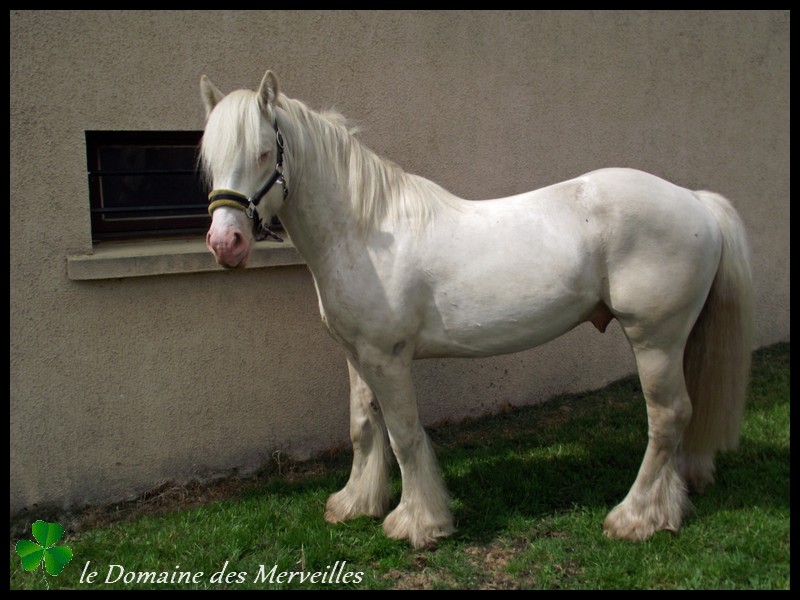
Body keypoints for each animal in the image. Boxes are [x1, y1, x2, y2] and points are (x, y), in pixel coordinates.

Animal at [198, 70, 752, 548]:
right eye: (210, 159)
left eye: (264, 151)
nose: (226, 243)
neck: (365, 231)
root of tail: (695, 201)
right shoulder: (357, 355)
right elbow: (363, 427)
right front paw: (356, 504)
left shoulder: (387, 359)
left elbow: (404, 436)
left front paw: (418, 523)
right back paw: (674, 500)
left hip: (654, 338)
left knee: (667, 417)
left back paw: (635, 518)